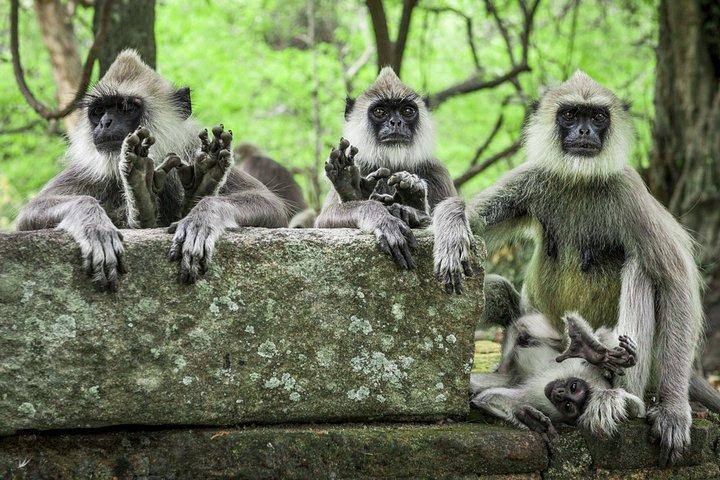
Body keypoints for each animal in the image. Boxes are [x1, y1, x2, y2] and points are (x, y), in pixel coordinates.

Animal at [16, 49, 288, 290]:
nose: (104, 123)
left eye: (125, 107)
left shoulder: (188, 147)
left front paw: (201, 218)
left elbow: (270, 205)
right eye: (99, 111)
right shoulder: (87, 169)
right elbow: (31, 212)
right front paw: (95, 226)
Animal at [315, 67, 456, 270]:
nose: (396, 123)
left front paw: (412, 208)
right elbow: (323, 219)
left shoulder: (437, 171)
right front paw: (382, 218)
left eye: (407, 111)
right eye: (380, 111)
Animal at [471, 311, 645, 440]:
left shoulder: (539, 400)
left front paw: (528, 417)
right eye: (573, 387)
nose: (559, 393)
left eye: (567, 405)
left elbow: (488, 397)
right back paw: (586, 349)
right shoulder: (589, 371)